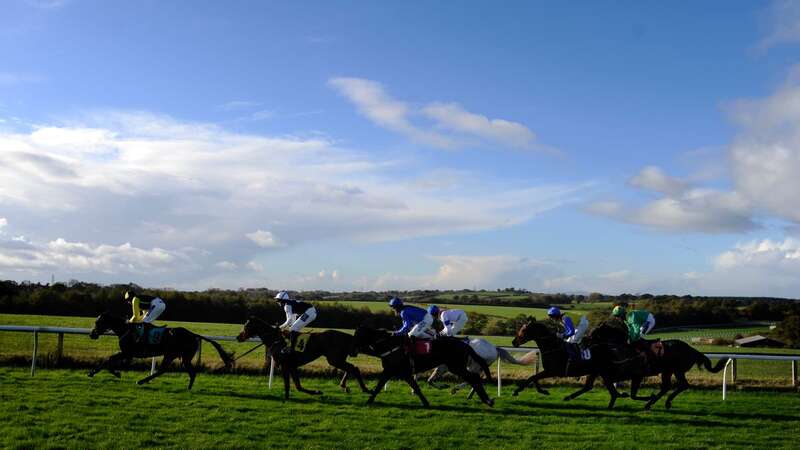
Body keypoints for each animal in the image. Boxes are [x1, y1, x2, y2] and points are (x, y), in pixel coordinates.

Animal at [86, 312, 231, 388]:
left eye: (97, 322)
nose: (92, 334)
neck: (125, 329)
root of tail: (193, 334)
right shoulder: (128, 354)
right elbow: (109, 360)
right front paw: (95, 372)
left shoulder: (128, 353)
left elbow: (108, 360)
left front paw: (113, 373)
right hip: (178, 356)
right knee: (182, 371)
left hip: (175, 355)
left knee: (168, 370)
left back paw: (142, 381)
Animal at [236, 314, 370, 400]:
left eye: (246, 326)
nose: (238, 337)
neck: (276, 340)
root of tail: (349, 337)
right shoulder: (292, 366)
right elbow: (298, 386)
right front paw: (316, 392)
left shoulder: (285, 366)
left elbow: (289, 385)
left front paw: (287, 398)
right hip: (337, 359)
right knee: (351, 368)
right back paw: (345, 386)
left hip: (334, 359)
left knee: (354, 368)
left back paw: (365, 389)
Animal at [350, 326, 494, 408]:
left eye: (357, 336)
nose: (352, 351)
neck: (390, 346)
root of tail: (464, 344)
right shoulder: (392, 372)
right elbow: (380, 386)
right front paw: (369, 400)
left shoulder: (401, 372)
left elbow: (415, 387)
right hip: (457, 366)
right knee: (474, 378)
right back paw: (485, 399)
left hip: (456, 366)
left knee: (473, 377)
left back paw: (487, 400)